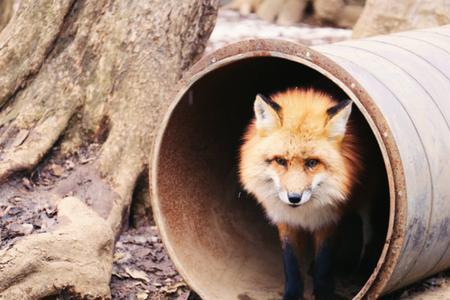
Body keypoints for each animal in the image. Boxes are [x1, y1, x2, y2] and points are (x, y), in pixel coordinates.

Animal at [239, 88, 376, 300]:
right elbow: (291, 265)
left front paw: (324, 293)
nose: (294, 198)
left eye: (312, 162)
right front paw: (292, 294)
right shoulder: (285, 221)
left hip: (366, 197)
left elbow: (324, 264)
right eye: (280, 161)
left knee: (368, 229)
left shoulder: (328, 220)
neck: (304, 212)